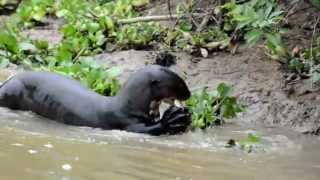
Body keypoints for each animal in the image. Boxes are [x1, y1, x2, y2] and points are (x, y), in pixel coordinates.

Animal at [0, 65, 191, 135]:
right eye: (179, 84)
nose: (189, 94)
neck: (129, 105)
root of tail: (7, 82)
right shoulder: (125, 121)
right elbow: (145, 129)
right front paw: (173, 119)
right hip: (12, 92)